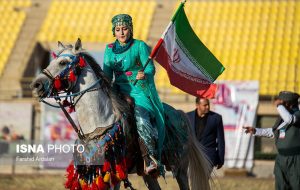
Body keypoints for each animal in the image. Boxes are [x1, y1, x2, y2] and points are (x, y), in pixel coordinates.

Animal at [31, 39, 212, 190]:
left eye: (63, 62)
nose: (36, 84)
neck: (98, 122)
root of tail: (179, 114)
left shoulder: (114, 174)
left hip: (180, 168)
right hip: (148, 174)